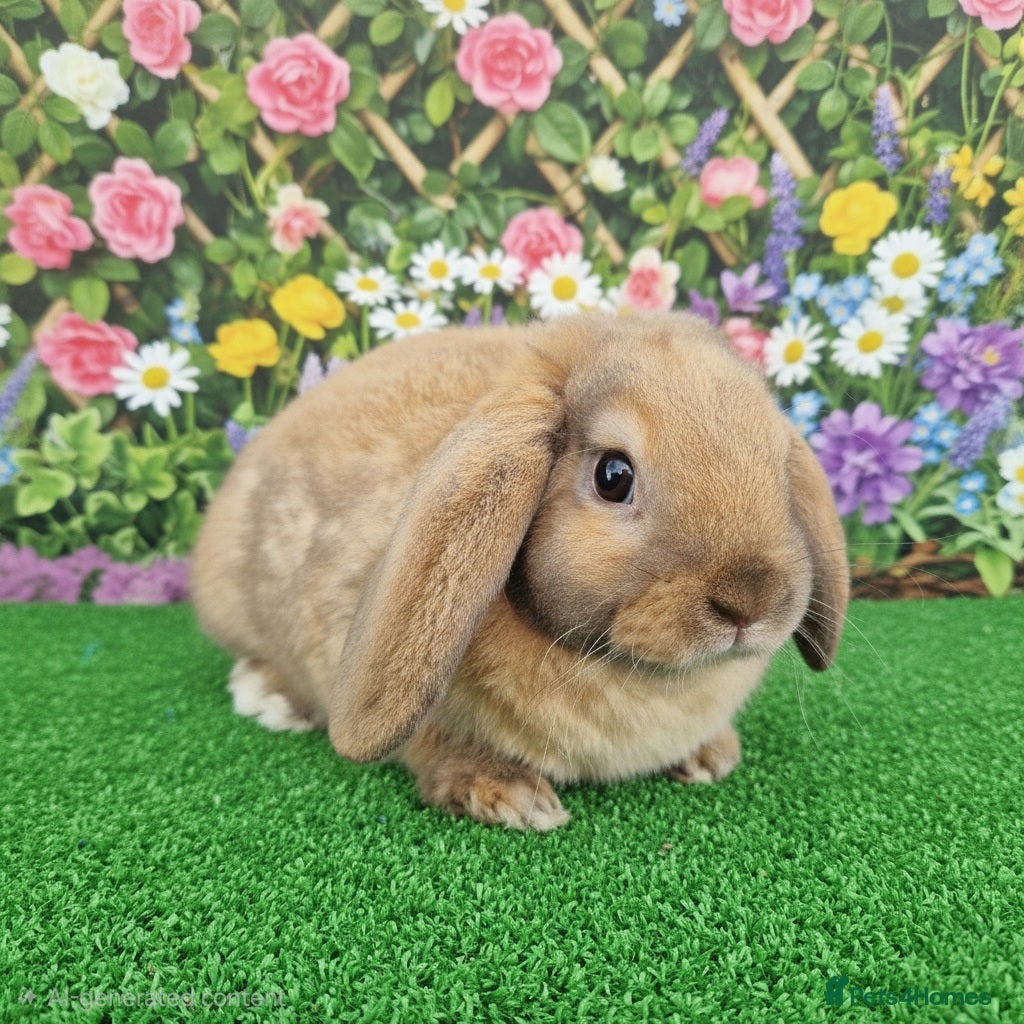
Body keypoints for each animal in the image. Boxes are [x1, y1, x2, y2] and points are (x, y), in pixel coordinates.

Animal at [191, 311, 848, 831]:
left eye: (776, 467)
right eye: (614, 476)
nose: (750, 599)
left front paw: (712, 757)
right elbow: (432, 746)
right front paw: (509, 795)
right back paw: (269, 697)